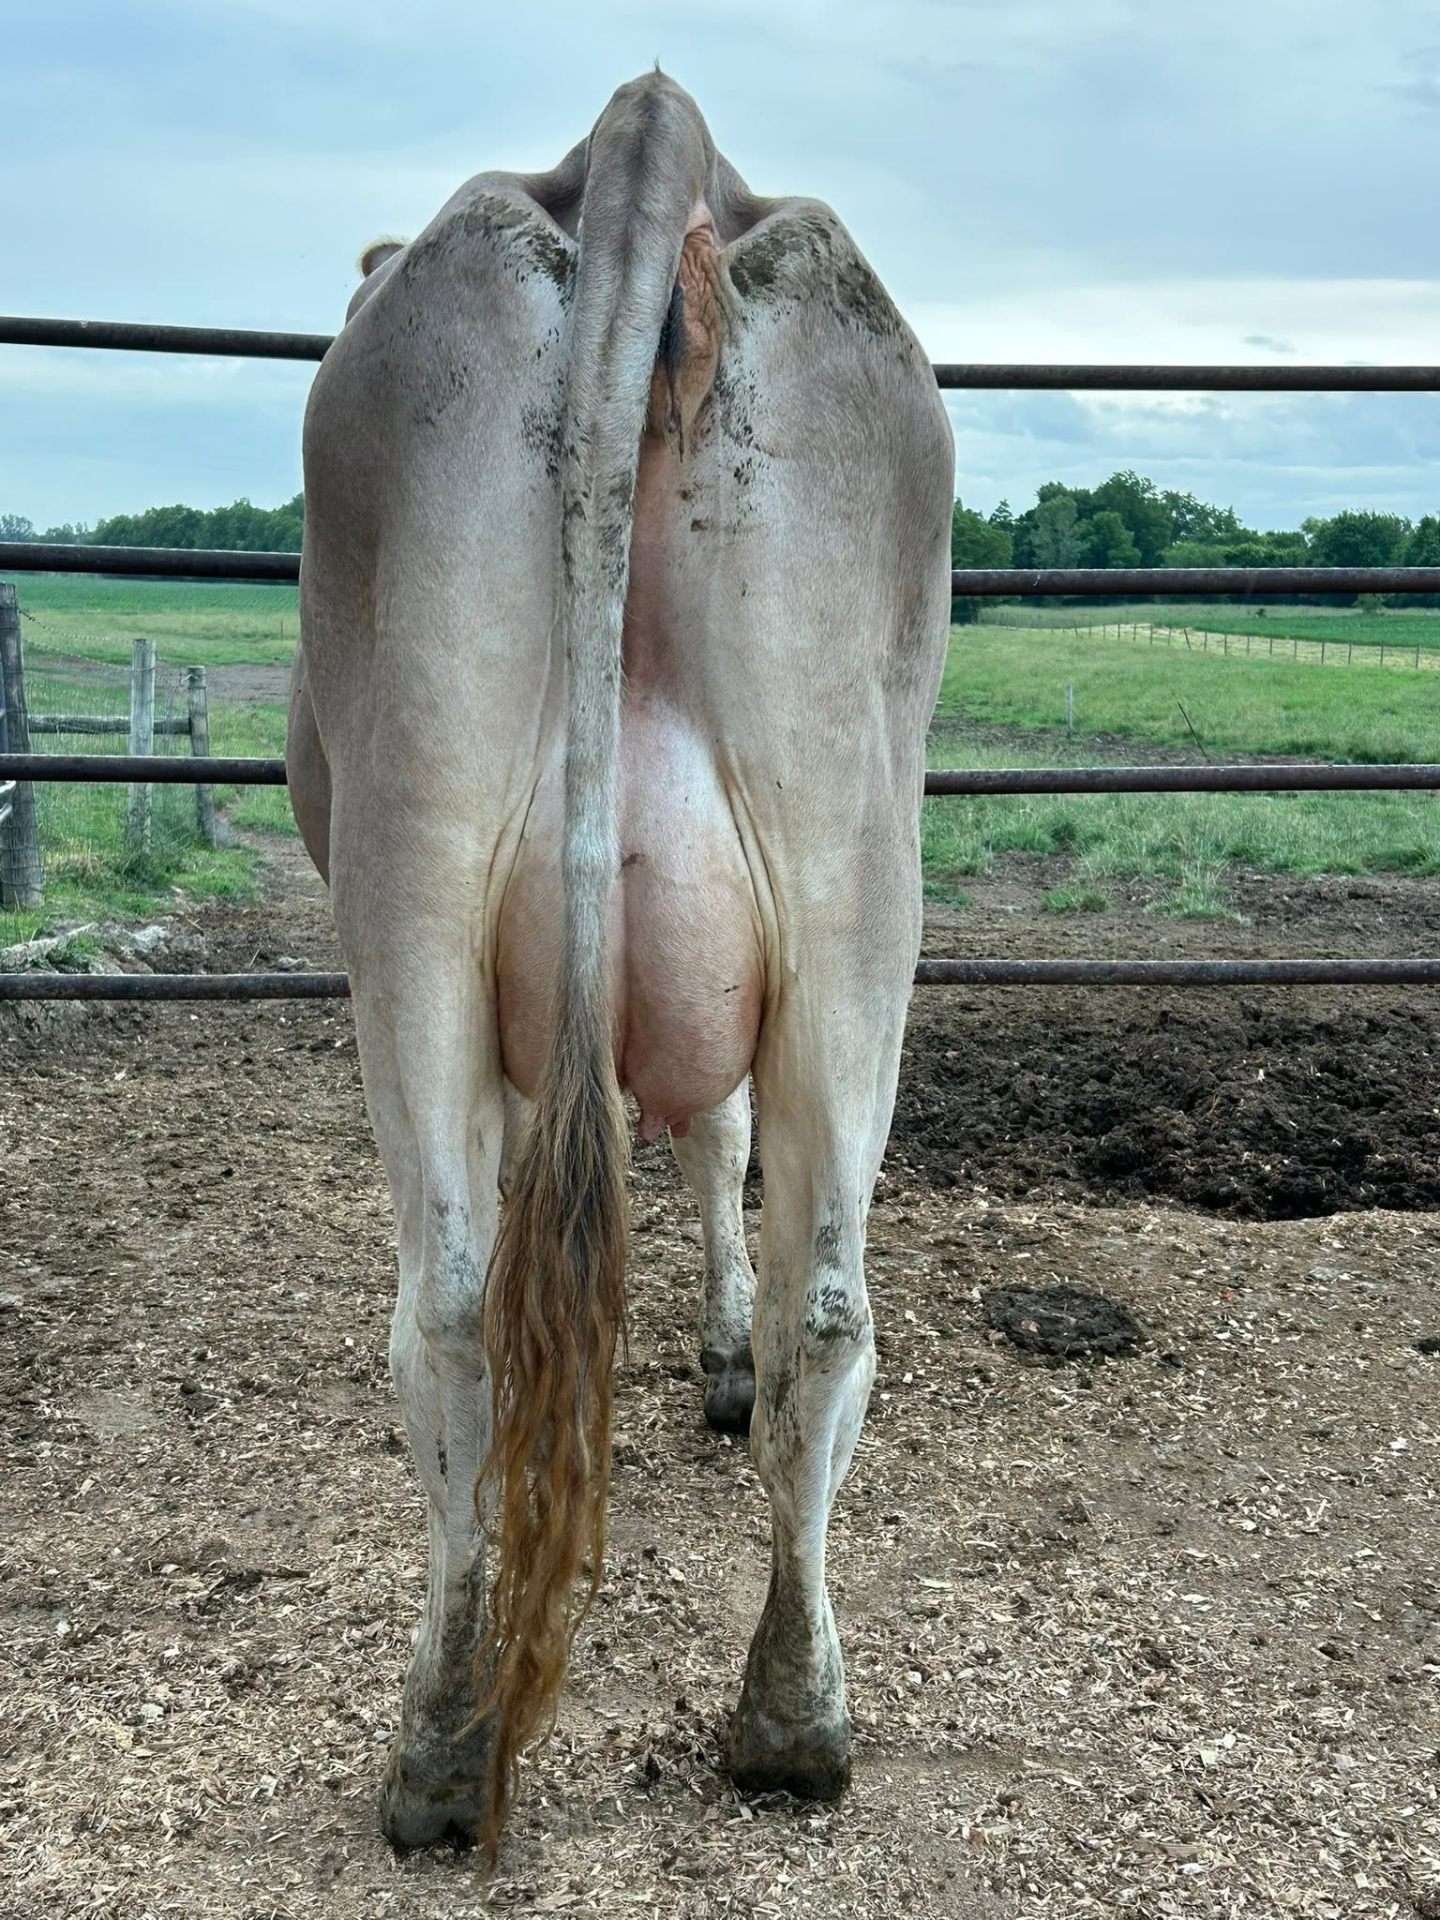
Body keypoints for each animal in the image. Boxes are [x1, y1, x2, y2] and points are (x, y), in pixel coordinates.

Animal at [287, 69, 953, 1857]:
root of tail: (654, 140)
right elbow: (718, 1143)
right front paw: (715, 1358)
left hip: (407, 883)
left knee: (451, 1308)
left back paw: (439, 1755)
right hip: (858, 872)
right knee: (829, 1306)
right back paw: (794, 1724)